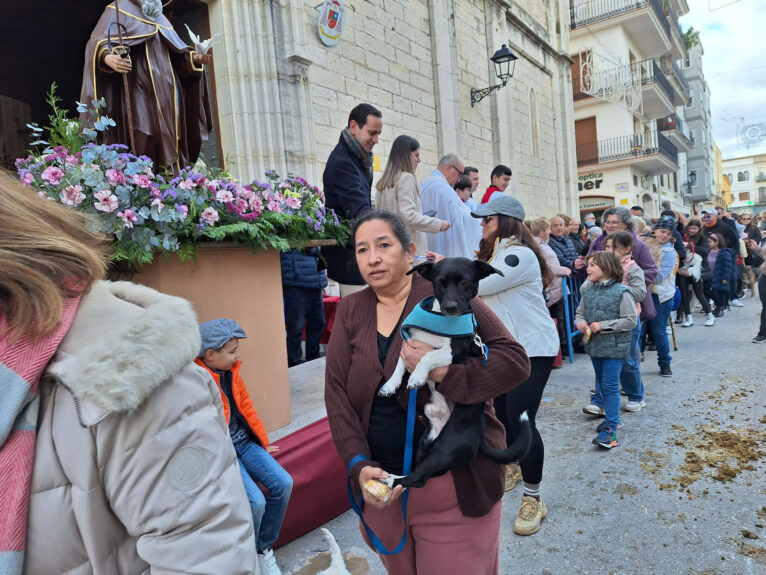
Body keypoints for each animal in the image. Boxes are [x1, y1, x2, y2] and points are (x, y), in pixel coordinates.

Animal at [380, 258, 536, 488]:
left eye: (465, 283)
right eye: (438, 283)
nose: (451, 307)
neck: (441, 321)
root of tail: (480, 435)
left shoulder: (455, 352)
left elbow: (428, 356)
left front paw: (417, 376)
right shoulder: (410, 343)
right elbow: (400, 363)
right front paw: (390, 385)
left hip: (444, 449)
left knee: (418, 478)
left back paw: (391, 481)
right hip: (425, 443)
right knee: (422, 476)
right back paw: (394, 477)